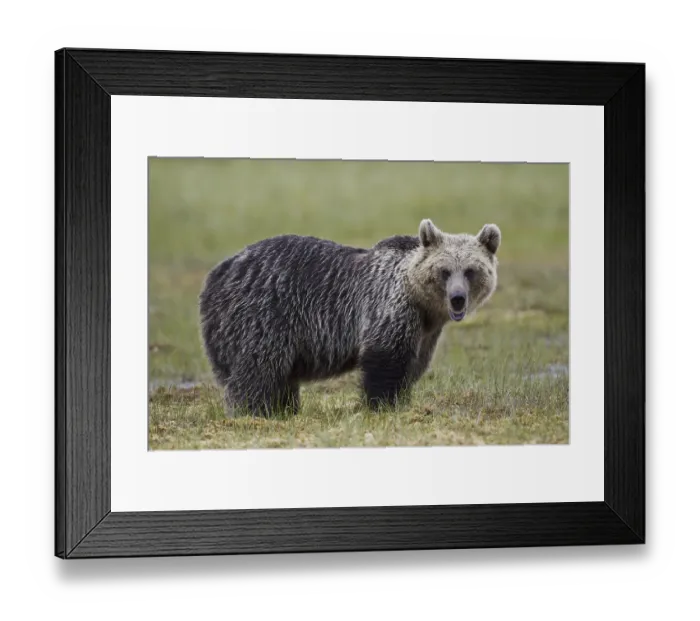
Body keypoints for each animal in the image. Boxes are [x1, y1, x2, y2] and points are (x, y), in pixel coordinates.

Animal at [199, 219, 501, 417]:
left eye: (471, 270)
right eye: (444, 271)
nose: (457, 298)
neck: (422, 304)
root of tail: (218, 273)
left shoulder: (426, 331)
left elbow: (413, 365)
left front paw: (403, 399)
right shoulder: (390, 307)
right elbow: (385, 359)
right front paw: (382, 405)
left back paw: (285, 408)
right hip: (264, 312)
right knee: (258, 366)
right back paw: (253, 411)